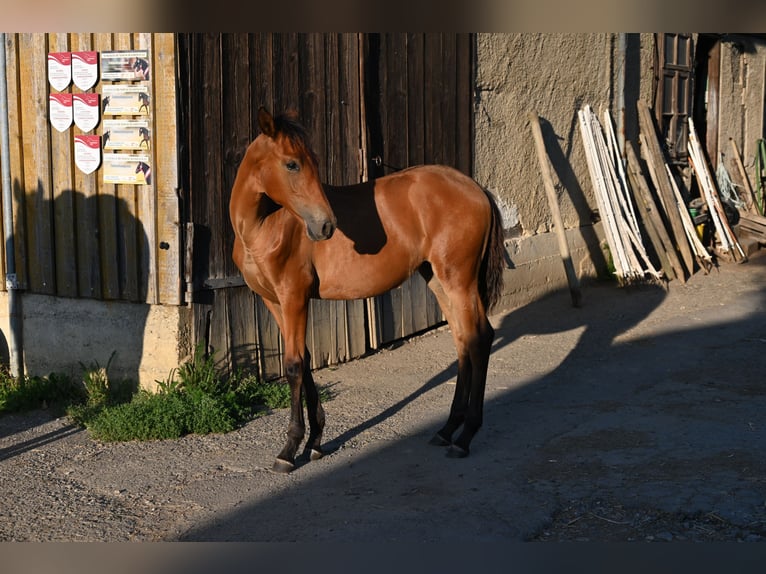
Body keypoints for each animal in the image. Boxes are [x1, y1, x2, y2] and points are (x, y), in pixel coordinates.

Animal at [230, 108, 506, 473]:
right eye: (292, 164)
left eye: (311, 162)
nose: (325, 226)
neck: (263, 227)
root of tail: (476, 188)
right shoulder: (274, 302)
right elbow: (305, 361)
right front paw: (315, 442)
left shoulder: (293, 299)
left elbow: (293, 366)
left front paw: (289, 449)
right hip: (437, 279)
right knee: (463, 339)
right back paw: (447, 430)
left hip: (458, 280)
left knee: (479, 339)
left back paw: (465, 436)